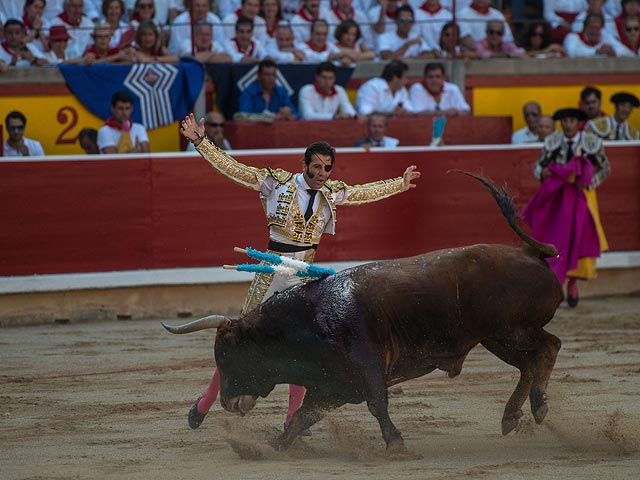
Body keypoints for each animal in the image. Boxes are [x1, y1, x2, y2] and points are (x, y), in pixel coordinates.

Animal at [162, 172, 564, 454]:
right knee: (530, 363)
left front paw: (396, 444)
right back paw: (513, 416)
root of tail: (530, 252)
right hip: (496, 338)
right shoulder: (333, 385)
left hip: (510, 330)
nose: (228, 403)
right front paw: (275, 447)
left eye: (228, 354)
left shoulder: (366, 370)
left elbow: (377, 404)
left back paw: (538, 408)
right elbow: (303, 416)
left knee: (549, 348)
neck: (308, 321)